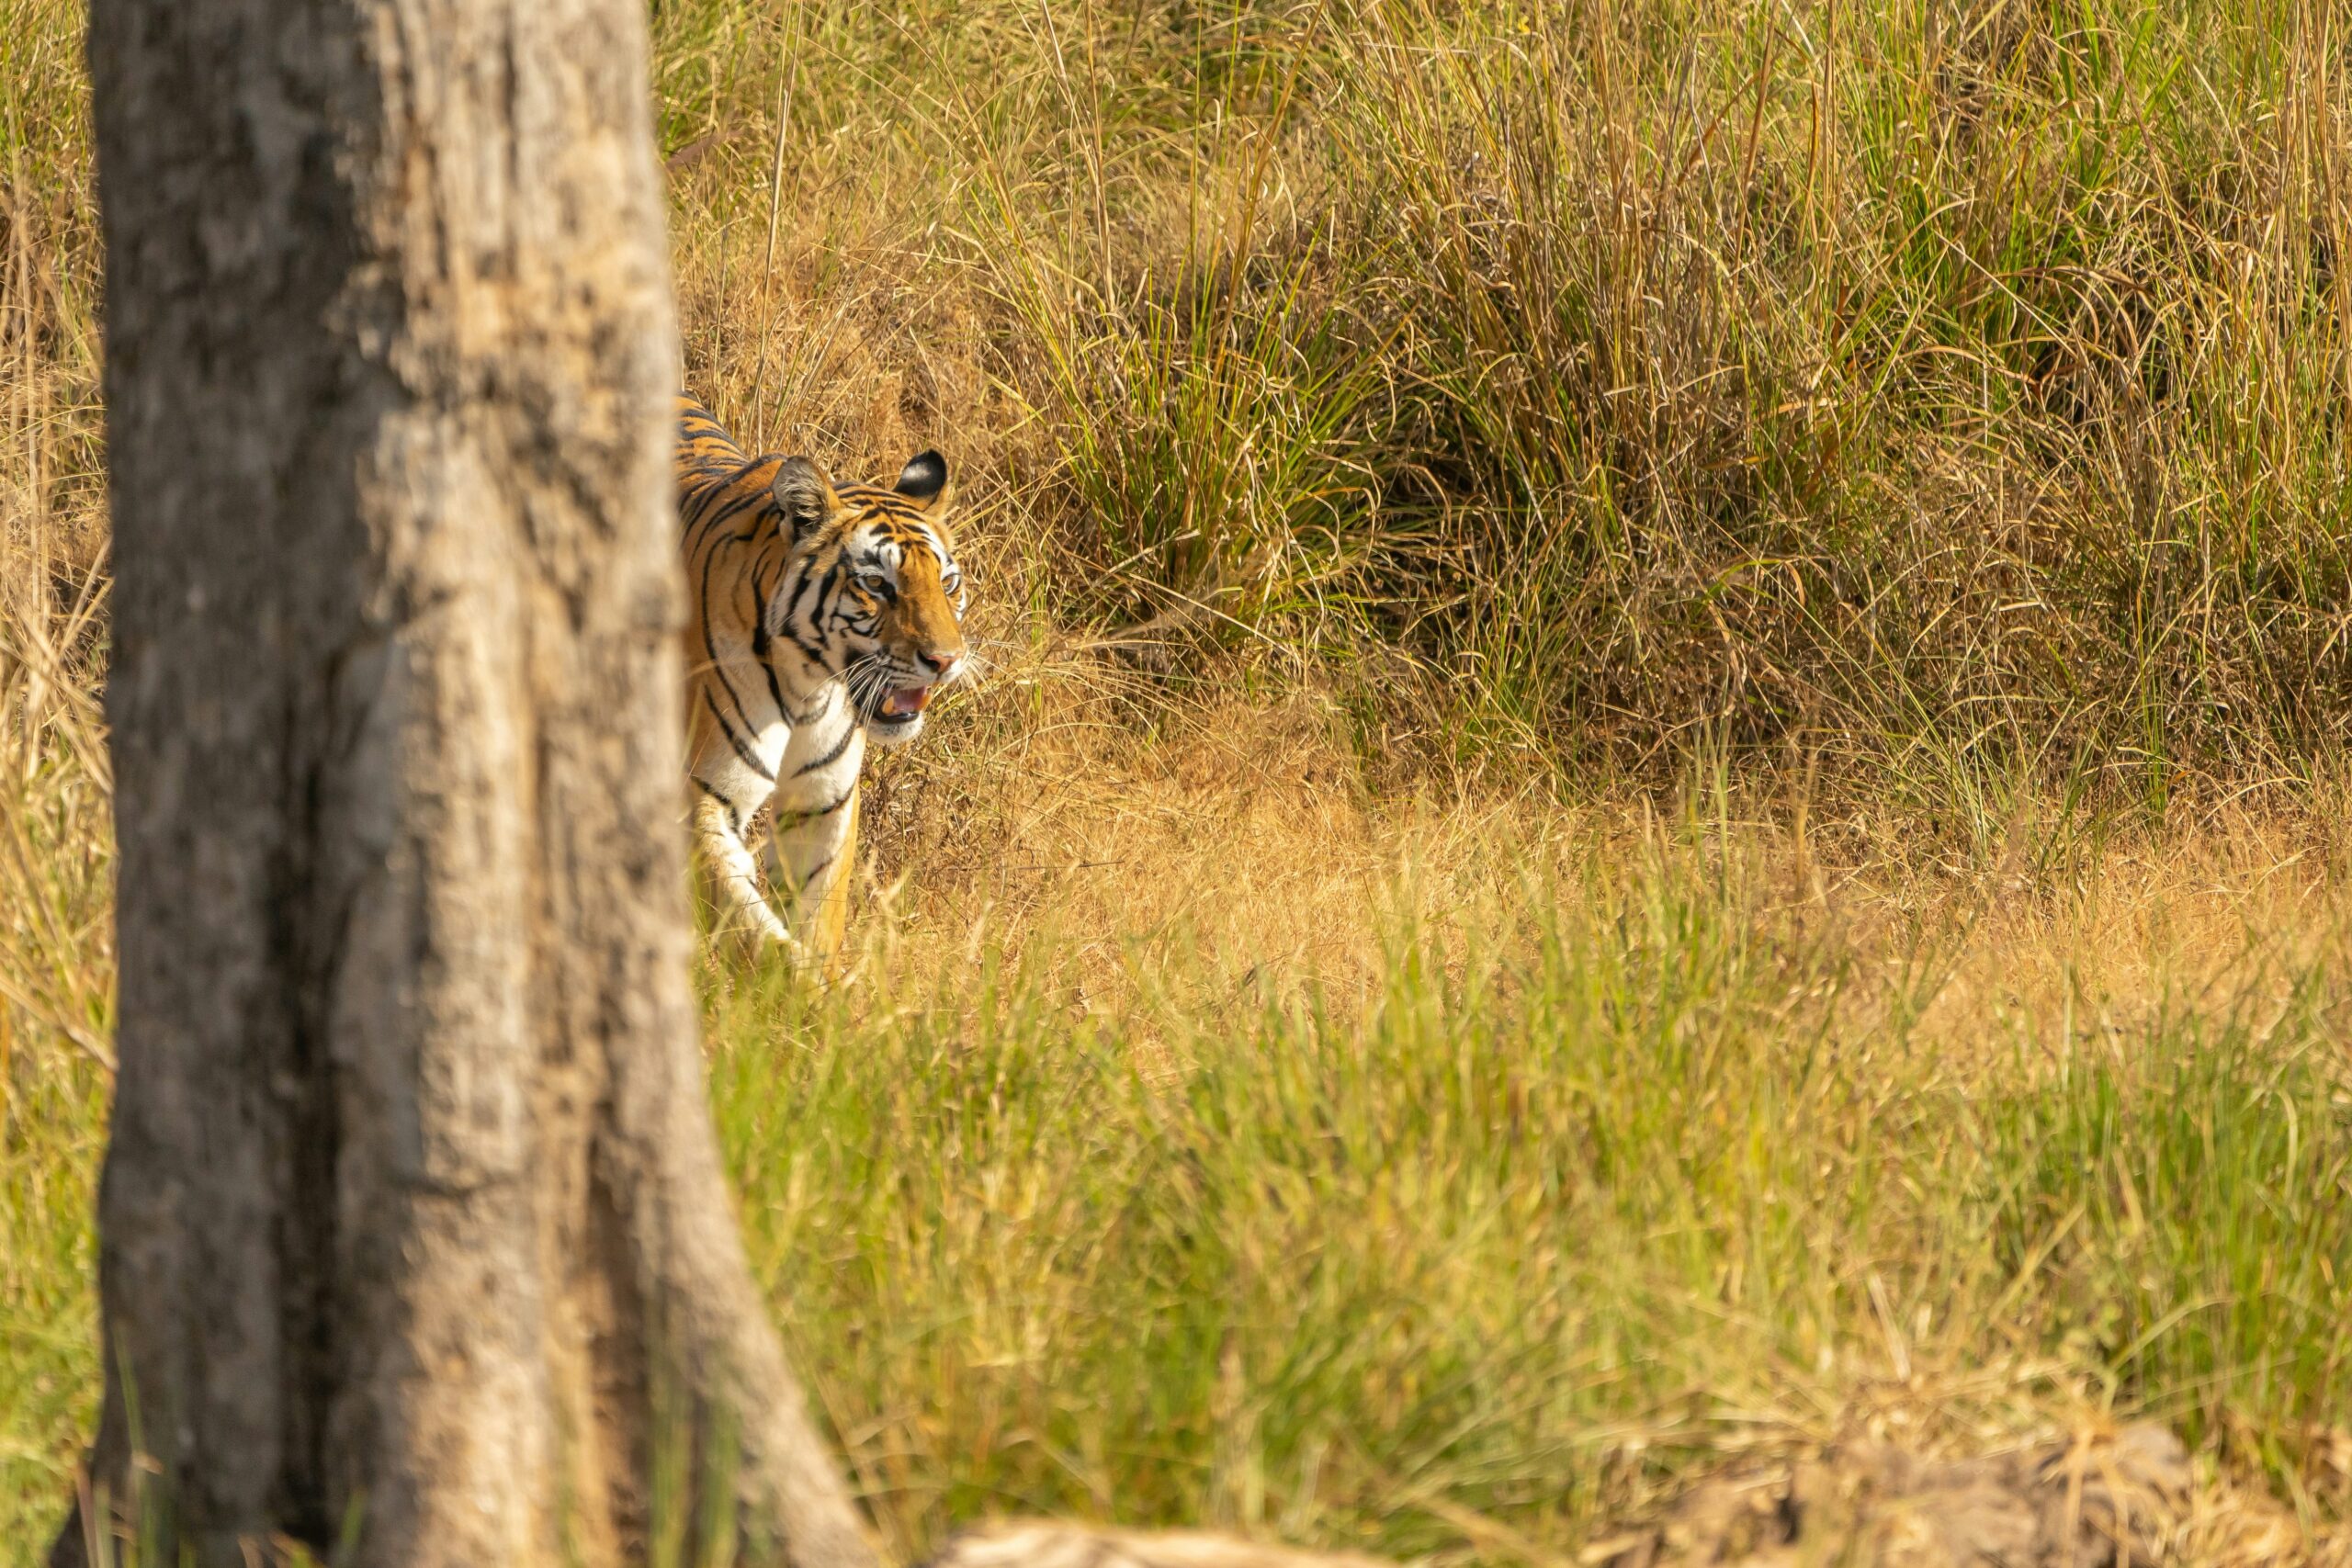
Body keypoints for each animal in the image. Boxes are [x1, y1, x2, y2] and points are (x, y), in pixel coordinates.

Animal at [676, 394, 967, 961]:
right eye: (876, 584)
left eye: (947, 583)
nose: (947, 660)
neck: (808, 686)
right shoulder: (704, 796)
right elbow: (751, 930)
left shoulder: (823, 804)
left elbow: (818, 916)